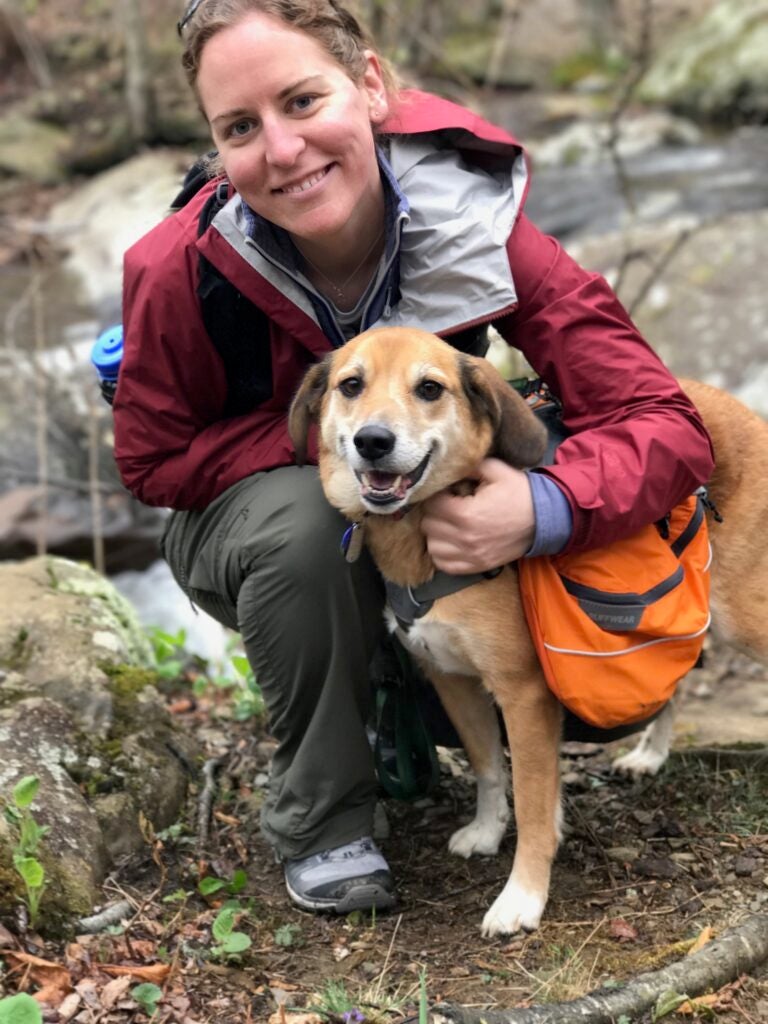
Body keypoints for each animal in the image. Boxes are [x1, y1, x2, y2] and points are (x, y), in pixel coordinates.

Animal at [290, 325, 768, 937]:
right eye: (351, 385)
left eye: (429, 388)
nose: (372, 440)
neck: (420, 534)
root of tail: (731, 404)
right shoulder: (453, 678)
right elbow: (490, 769)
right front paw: (488, 830)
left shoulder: (524, 695)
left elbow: (535, 805)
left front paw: (522, 897)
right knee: (678, 677)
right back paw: (649, 756)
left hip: (744, 614)